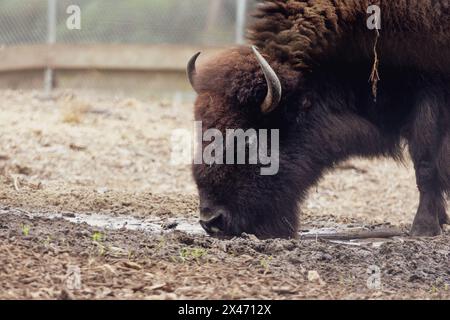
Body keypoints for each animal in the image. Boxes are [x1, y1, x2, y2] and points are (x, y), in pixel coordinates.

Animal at [185, 0, 446, 239]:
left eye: (248, 141)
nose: (211, 220)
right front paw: (441, 220)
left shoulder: (429, 92)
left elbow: (425, 164)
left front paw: (424, 228)